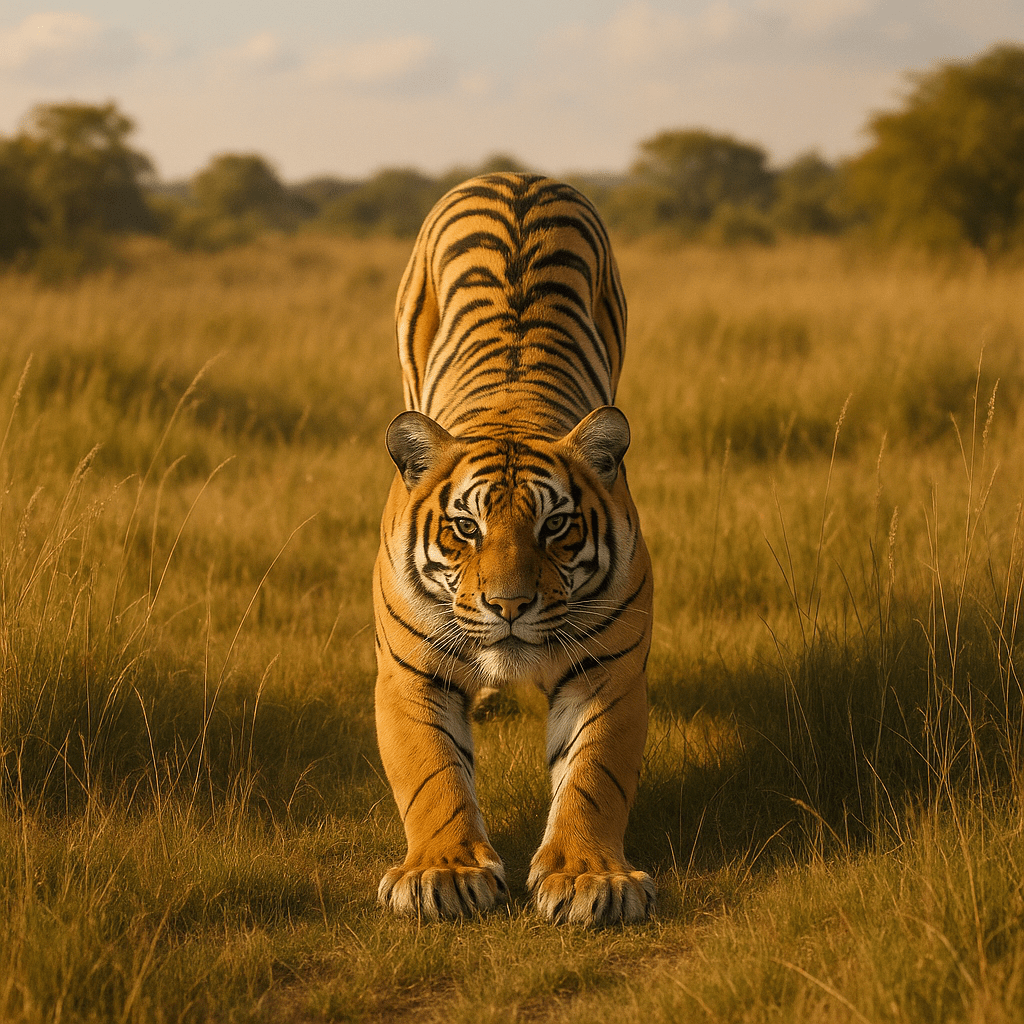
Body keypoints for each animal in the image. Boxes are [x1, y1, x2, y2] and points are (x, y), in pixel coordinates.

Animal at [373, 172, 654, 927]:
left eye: (555, 527)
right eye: (464, 529)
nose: (508, 607)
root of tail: (516, 175)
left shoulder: (609, 669)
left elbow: (592, 776)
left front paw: (589, 880)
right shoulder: (408, 671)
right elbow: (431, 773)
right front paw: (442, 874)